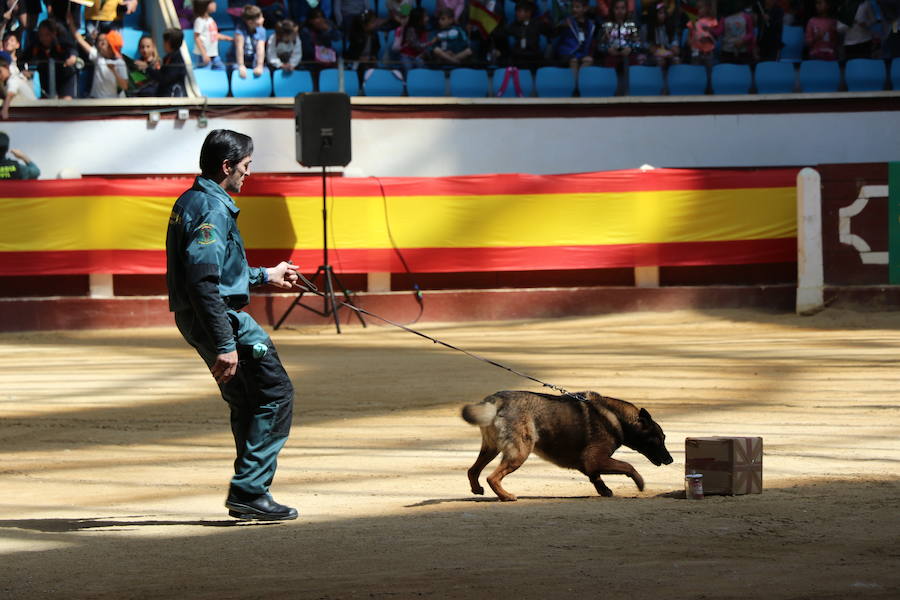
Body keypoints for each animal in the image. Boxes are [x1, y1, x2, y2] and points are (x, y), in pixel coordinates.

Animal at [464, 390, 668, 502]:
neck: (618, 418)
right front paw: (640, 483)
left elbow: (595, 476)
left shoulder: (588, 463)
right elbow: (628, 466)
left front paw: (604, 490)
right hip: (519, 452)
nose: (670, 459)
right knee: (492, 477)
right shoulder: (595, 459)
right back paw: (506, 496)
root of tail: (495, 400)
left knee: (472, 470)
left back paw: (477, 489)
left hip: (491, 448)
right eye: (659, 438)